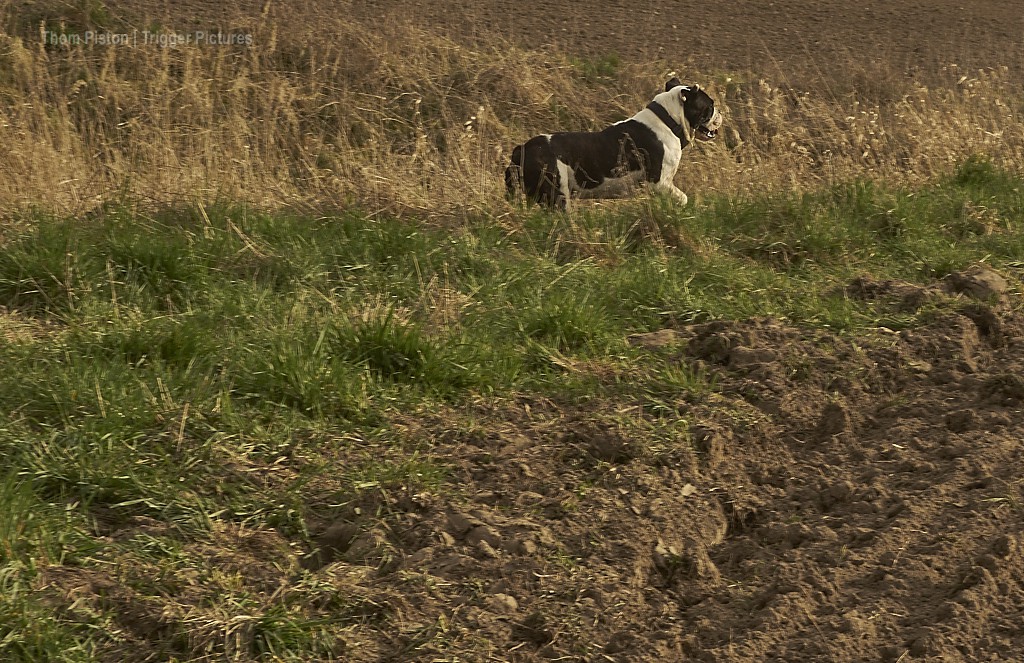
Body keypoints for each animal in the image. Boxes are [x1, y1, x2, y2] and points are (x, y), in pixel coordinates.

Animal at [503, 78, 720, 206]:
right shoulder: (659, 183)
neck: (668, 120)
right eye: (710, 106)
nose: (720, 113)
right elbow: (682, 198)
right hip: (557, 195)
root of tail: (522, 149)